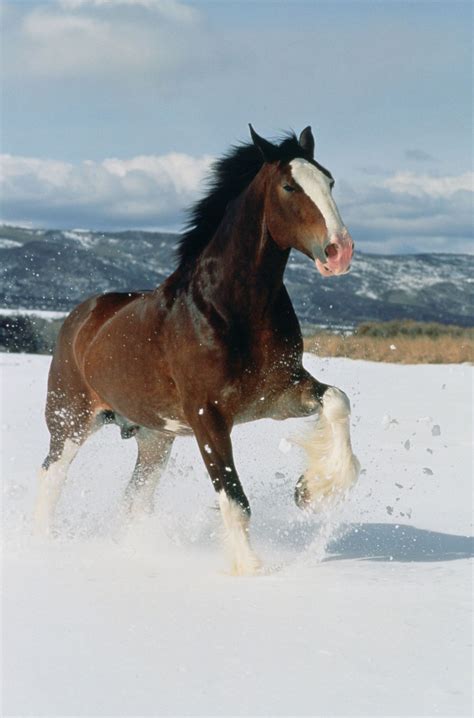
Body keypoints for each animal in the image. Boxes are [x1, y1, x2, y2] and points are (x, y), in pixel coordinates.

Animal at [34, 124, 360, 572]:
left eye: (329, 181)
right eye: (289, 186)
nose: (339, 252)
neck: (228, 309)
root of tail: (80, 317)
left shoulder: (279, 394)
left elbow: (338, 401)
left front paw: (312, 490)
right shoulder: (208, 416)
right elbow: (233, 497)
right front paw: (251, 570)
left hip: (154, 439)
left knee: (133, 500)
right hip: (70, 422)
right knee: (52, 478)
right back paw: (43, 546)